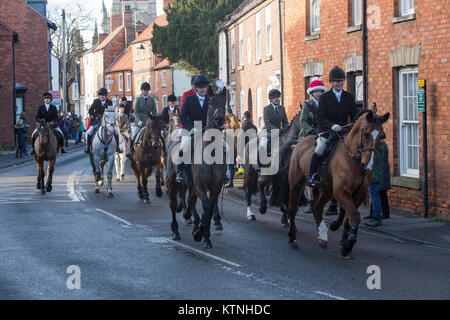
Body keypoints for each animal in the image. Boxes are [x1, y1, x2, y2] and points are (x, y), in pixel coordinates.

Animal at [288, 109, 390, 258]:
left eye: (382, 136)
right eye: (366, 133)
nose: (368, 166)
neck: (353, 158)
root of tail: (300, 142)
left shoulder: (358, 194)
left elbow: (349, 218)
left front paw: (345, 244)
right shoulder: (341, 191)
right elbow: (354, 216)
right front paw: (348, 244)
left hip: (326, 189)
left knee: (317, 207)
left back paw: (322, 236)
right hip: (297, 185)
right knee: (293, 209)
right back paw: (292, 238)